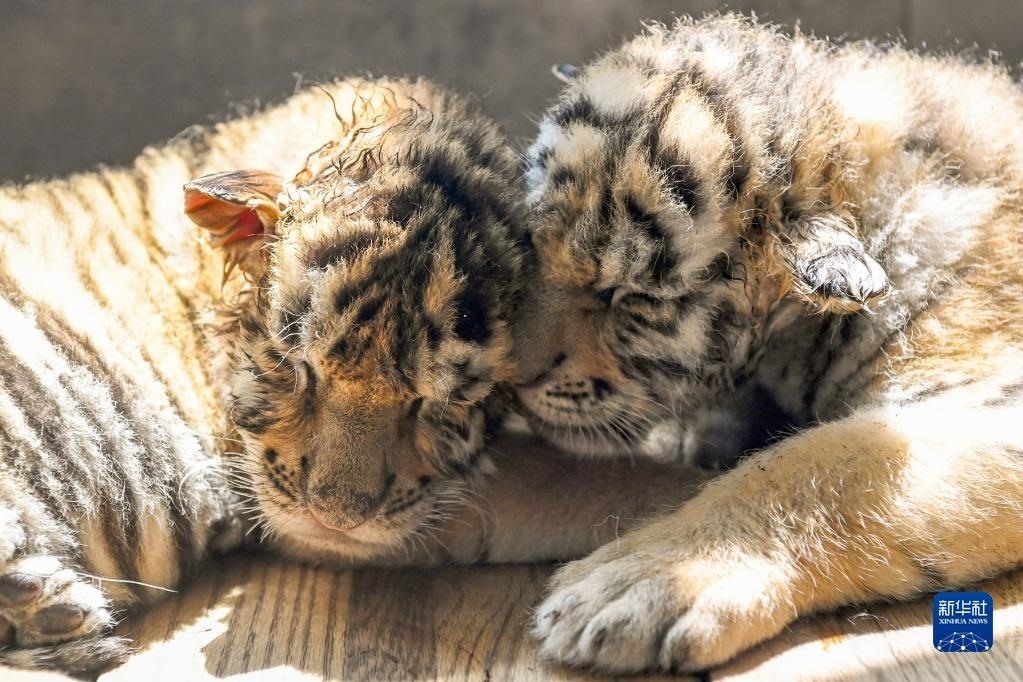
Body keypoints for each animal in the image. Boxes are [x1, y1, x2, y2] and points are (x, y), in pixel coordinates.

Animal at [514, 14, 1023, 673]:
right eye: (533, 244)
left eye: (630, 297)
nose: (507, 378)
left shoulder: (986, 402)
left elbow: (825, 464)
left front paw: (646, 581)